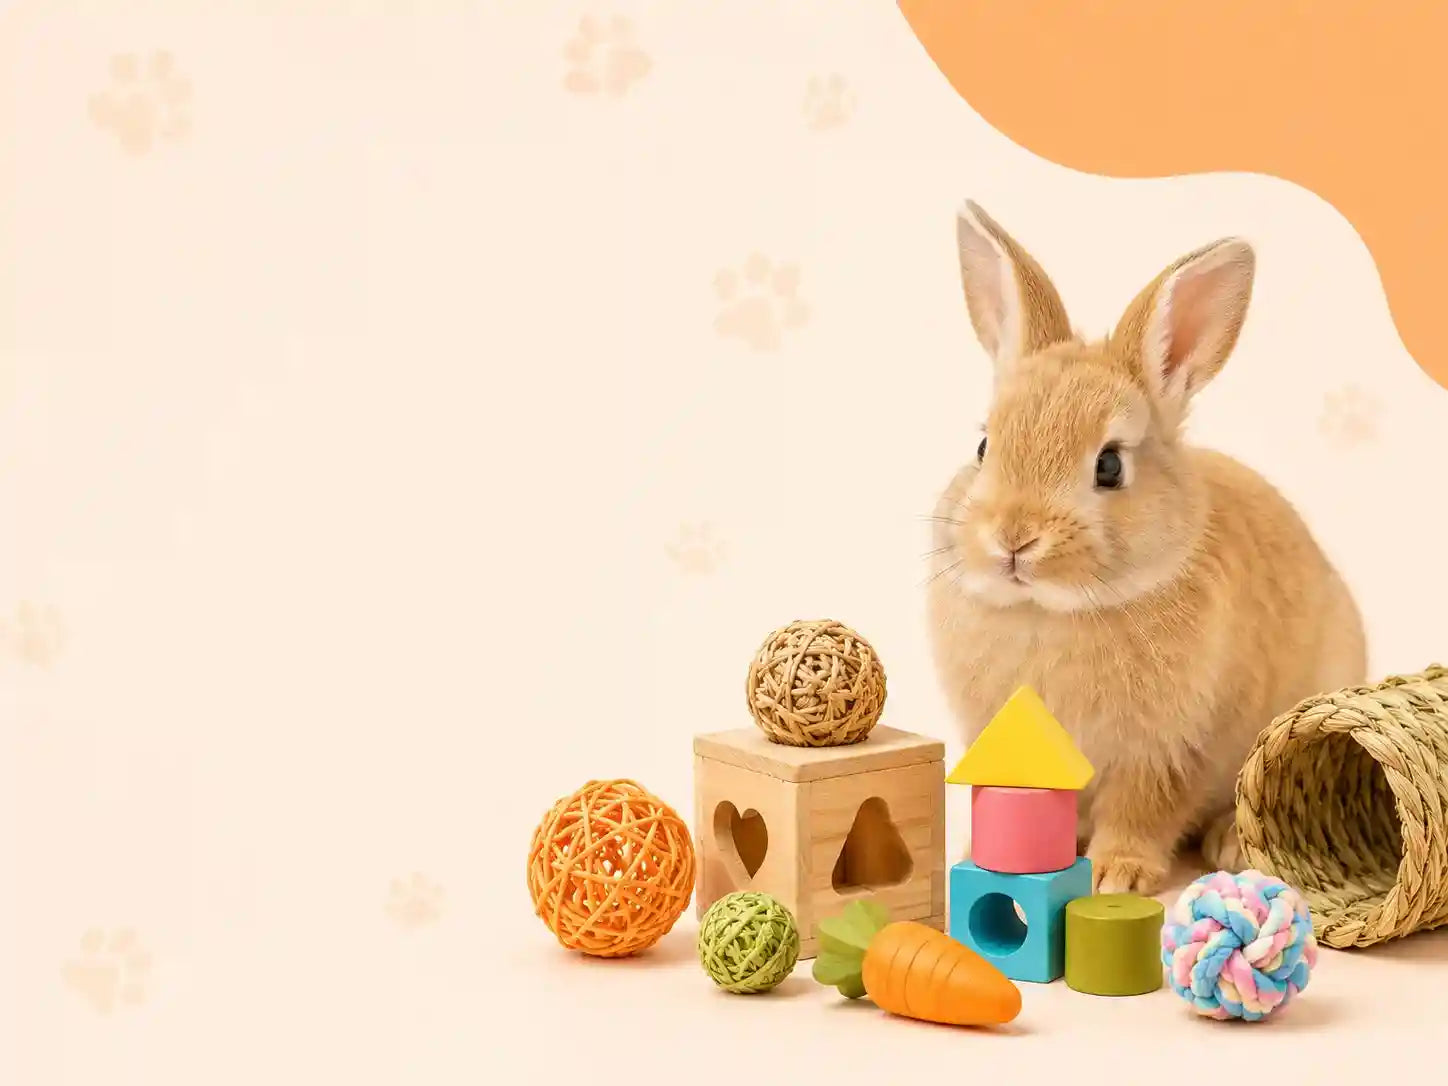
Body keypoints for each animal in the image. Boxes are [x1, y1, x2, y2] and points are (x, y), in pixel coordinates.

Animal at [927, 201, 1367, 896]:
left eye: (1109, 466)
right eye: (983, 445)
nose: (1014, 539)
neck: (1049, 611)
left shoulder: (1167, 752)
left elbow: (1144, 809)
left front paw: (1117, 876)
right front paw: (981, 852)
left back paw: (1230, 844)